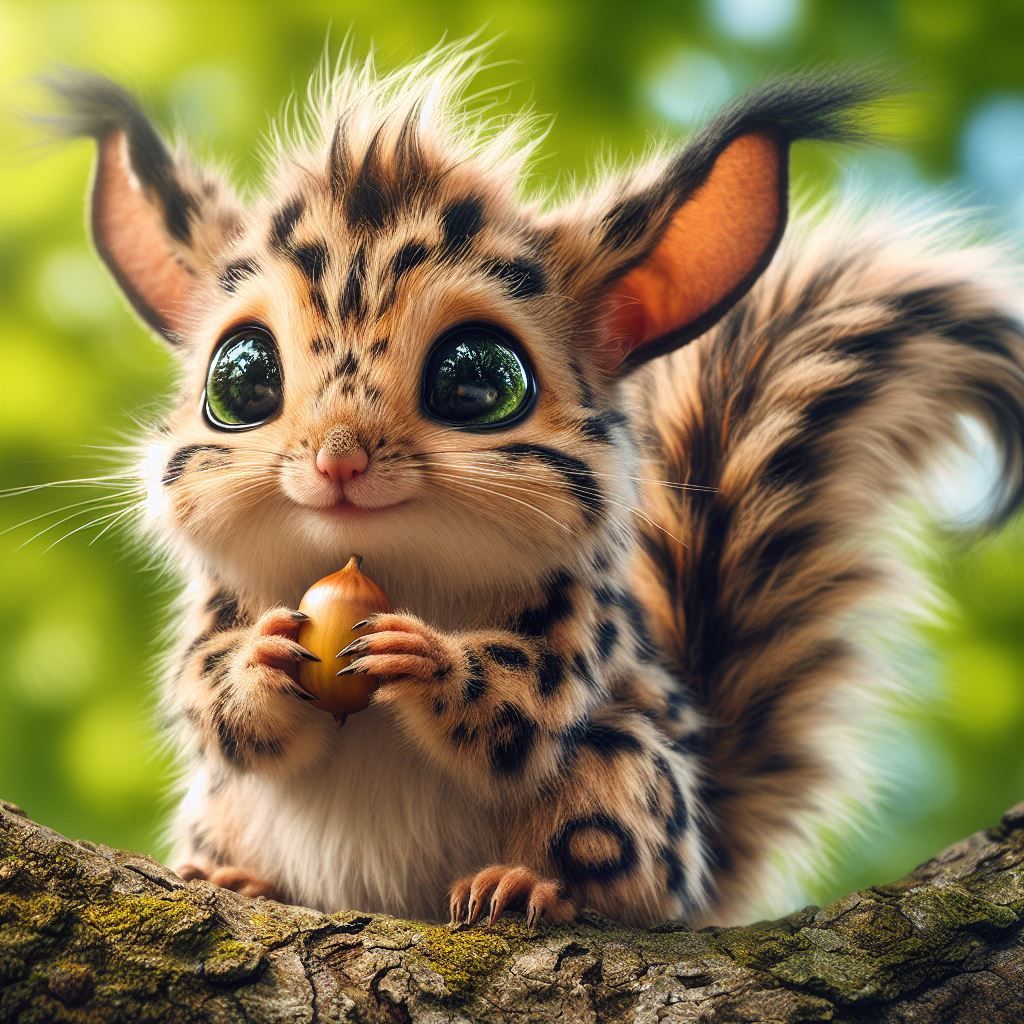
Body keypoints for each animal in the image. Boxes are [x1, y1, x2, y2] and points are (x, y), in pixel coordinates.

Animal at [42, 45, 1023, 929]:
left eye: (480, 379)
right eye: (239, 379)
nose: (338, 460)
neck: (391, 568)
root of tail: (704, 875)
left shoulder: (577, 627)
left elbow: (527, 698)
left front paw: (429, 658)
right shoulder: (210, 622)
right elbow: (208, 699)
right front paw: (262, 659)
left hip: (623, 777)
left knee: (629, 886)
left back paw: (528, 888)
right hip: (223, 806)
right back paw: (237, 878)